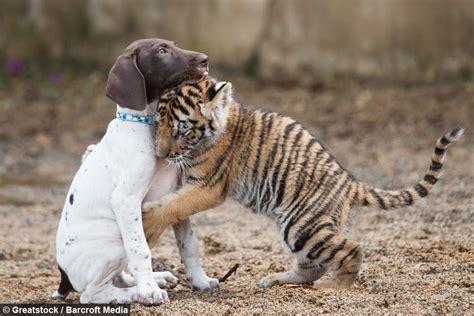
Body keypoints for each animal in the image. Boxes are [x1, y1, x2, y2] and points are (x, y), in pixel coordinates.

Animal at [54, 38, 218, 304]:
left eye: (173, 45)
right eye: (162, 51)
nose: (205, 59)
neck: (147, 126)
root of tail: (64, 275)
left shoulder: (176, 196)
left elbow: (189, 244)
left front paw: (200, 280)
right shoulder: (126, 200)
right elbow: (141, 251)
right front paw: (149, 291)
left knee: (118, 276)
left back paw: (156, 279)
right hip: (114, 243)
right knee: (92, 294)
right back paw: (138, 292)